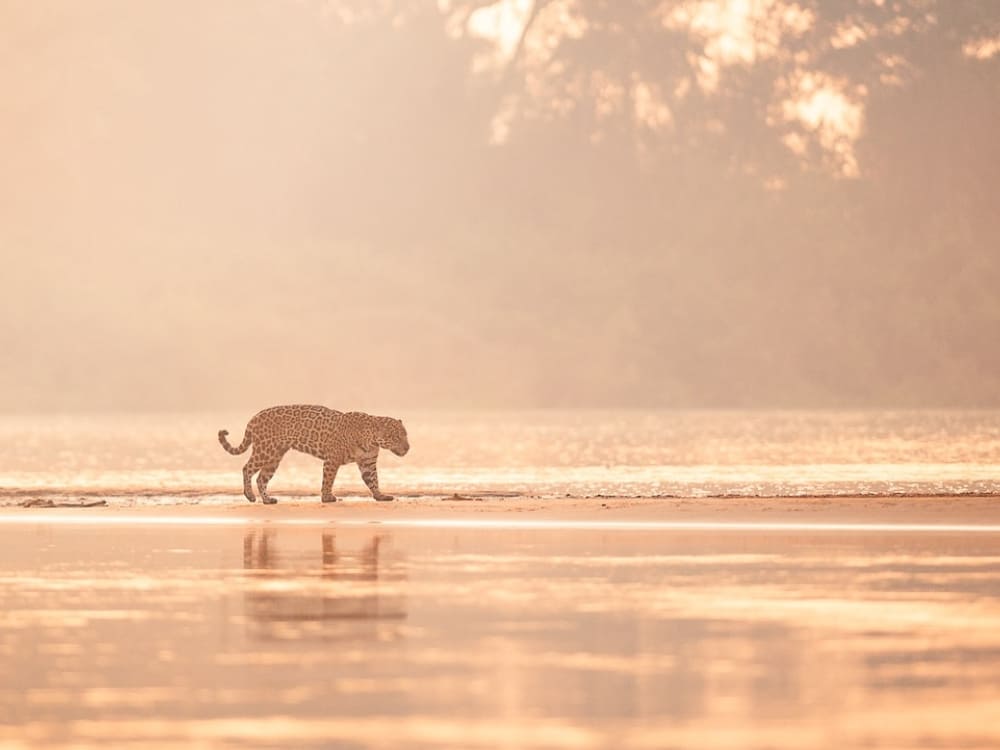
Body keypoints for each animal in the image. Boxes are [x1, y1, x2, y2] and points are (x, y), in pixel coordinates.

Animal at [218, 405, 409, 505]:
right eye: (396, 437)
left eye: (405, 435)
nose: (408, 448)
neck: (372, 439)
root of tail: (254, 417)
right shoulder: (332, 459)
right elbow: (328, 480)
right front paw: (327, 497)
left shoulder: (367, 462)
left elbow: (373, 480)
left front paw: (380, 496)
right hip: (265, 450)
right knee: (247, 468)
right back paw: (249, 496)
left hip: (275, 456)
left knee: (261, 478)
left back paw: (267, 499)